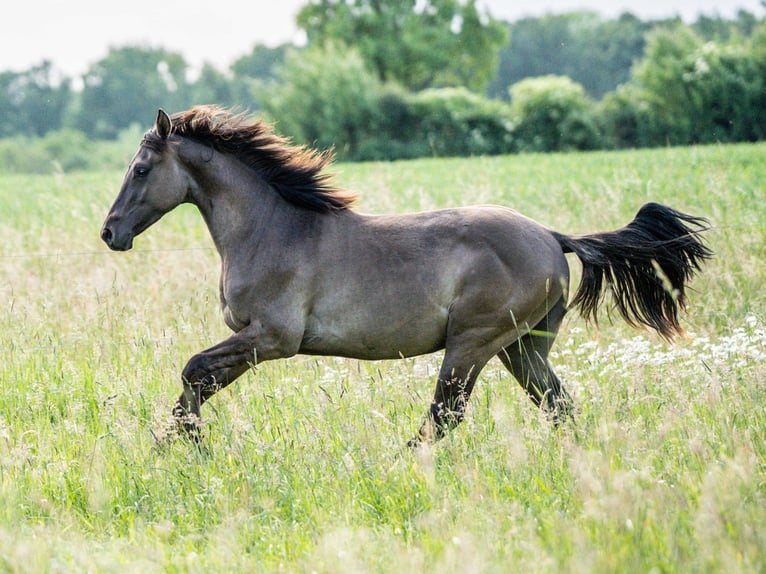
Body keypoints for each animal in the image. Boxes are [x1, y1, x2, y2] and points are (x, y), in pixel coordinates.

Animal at [100, 106, 712, 444]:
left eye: (141, 169)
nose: (110, 232)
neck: (272, 228)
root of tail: (553, 237)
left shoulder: (272, 338)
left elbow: (193, 370)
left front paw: (185, 445)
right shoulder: (253, 341)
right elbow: (197, 382)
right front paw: (175, 445)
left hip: (472, 344)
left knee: (446, 415)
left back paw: (398, 466)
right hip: (523, 348)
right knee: (558, 406)